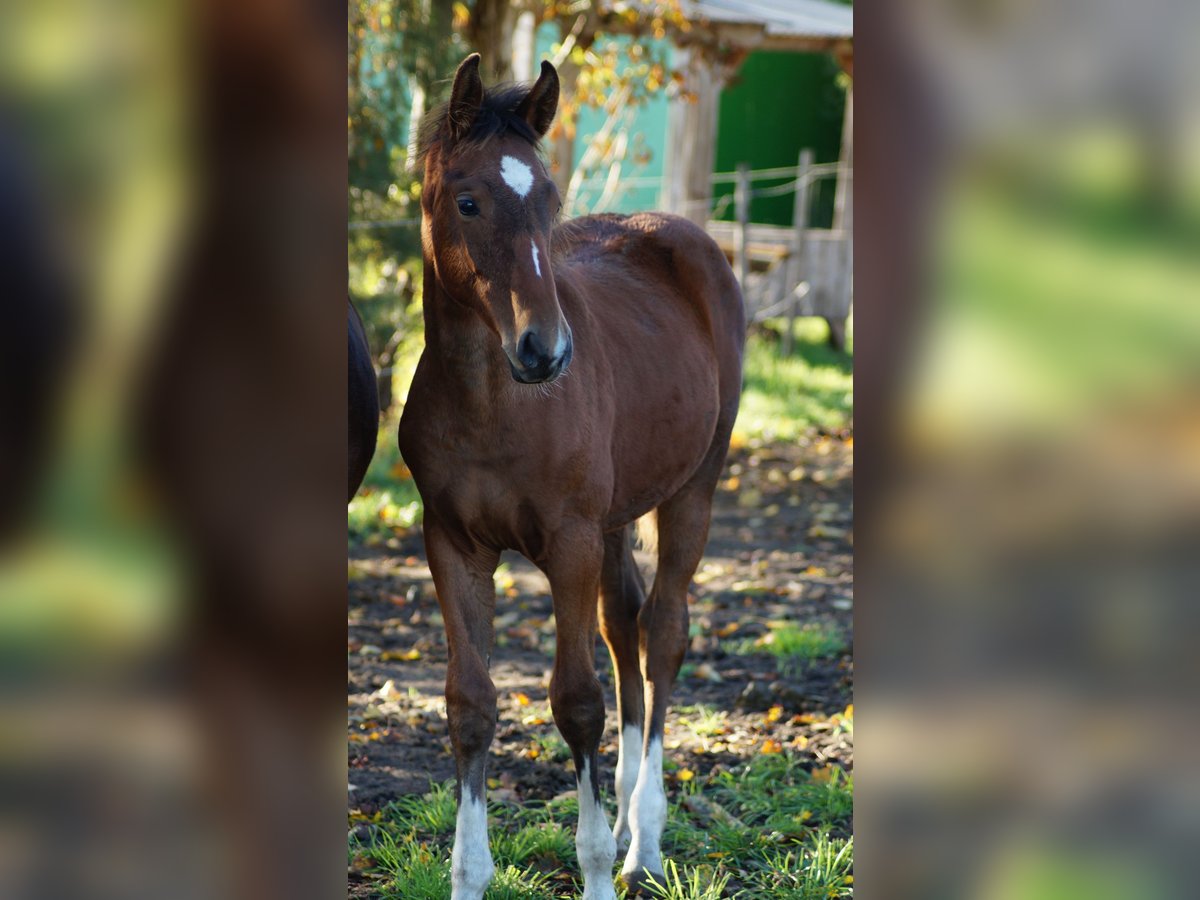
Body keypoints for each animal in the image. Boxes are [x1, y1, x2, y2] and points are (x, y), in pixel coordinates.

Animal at [397, 54, 746, 899]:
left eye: (550, 199)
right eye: (468, 200)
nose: (545, 350)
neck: (493, 404)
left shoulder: (570, 541)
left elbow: (577, 703)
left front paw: (594, 870)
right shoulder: (452, 544)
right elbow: (470, 705)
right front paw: (468, 875)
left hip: (692, 488)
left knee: (662, 632)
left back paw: (642, 841)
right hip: (619, 514)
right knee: (624, 624)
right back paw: (622, 821)